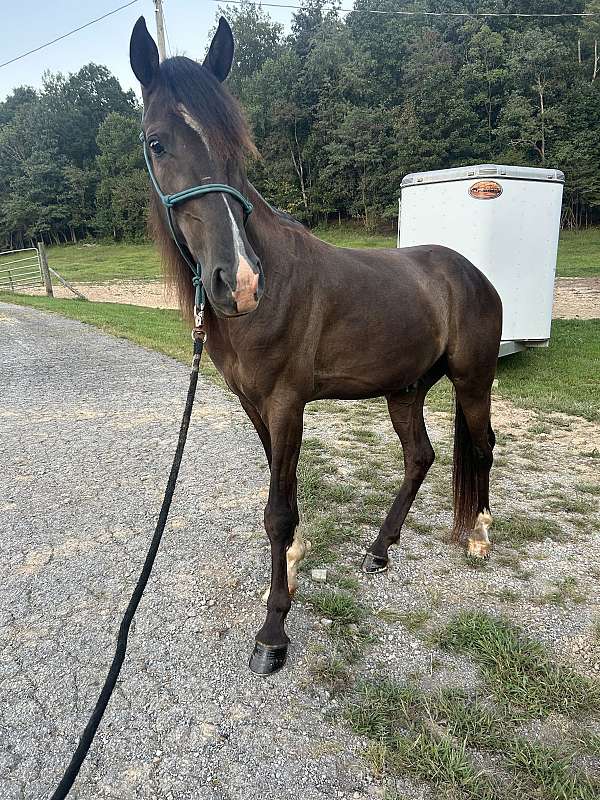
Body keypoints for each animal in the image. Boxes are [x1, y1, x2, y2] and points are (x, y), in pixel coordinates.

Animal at [129, 16, 502, 676]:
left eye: (237, 145)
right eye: (157, 143)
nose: (238, 282)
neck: (272, 279)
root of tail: (470, 273)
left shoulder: (286, 404)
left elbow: (278, 511)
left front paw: (273, 631)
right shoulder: (256, 405)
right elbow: (285, 499)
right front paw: (293, 571)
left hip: (471, 381)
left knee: (481, 446)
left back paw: (478, 536)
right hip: (405, 389)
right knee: (421, 457)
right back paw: (380, 549)